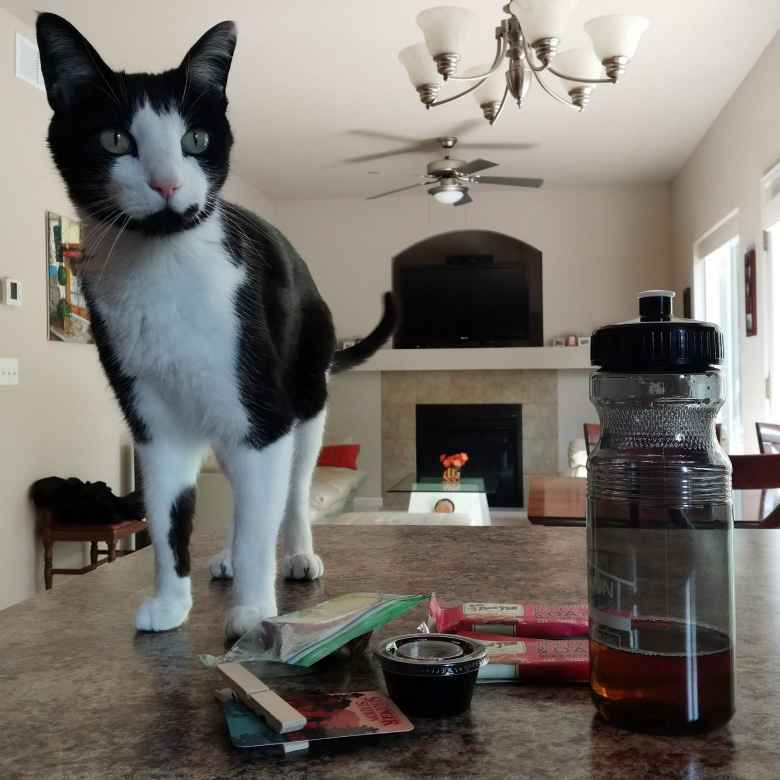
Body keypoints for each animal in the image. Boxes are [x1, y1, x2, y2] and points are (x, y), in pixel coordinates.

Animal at [36, 13, 394, 640]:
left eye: (195, 141)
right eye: (115, 140)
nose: (166, 184)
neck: (163, 269)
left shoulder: (263, 412)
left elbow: (261, 519)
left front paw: (254, 614)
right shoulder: (153, 422)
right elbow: (168, 516)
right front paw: (170, 603)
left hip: (301, 400)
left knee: (291, 492)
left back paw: (297, 555)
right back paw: (226, 556)